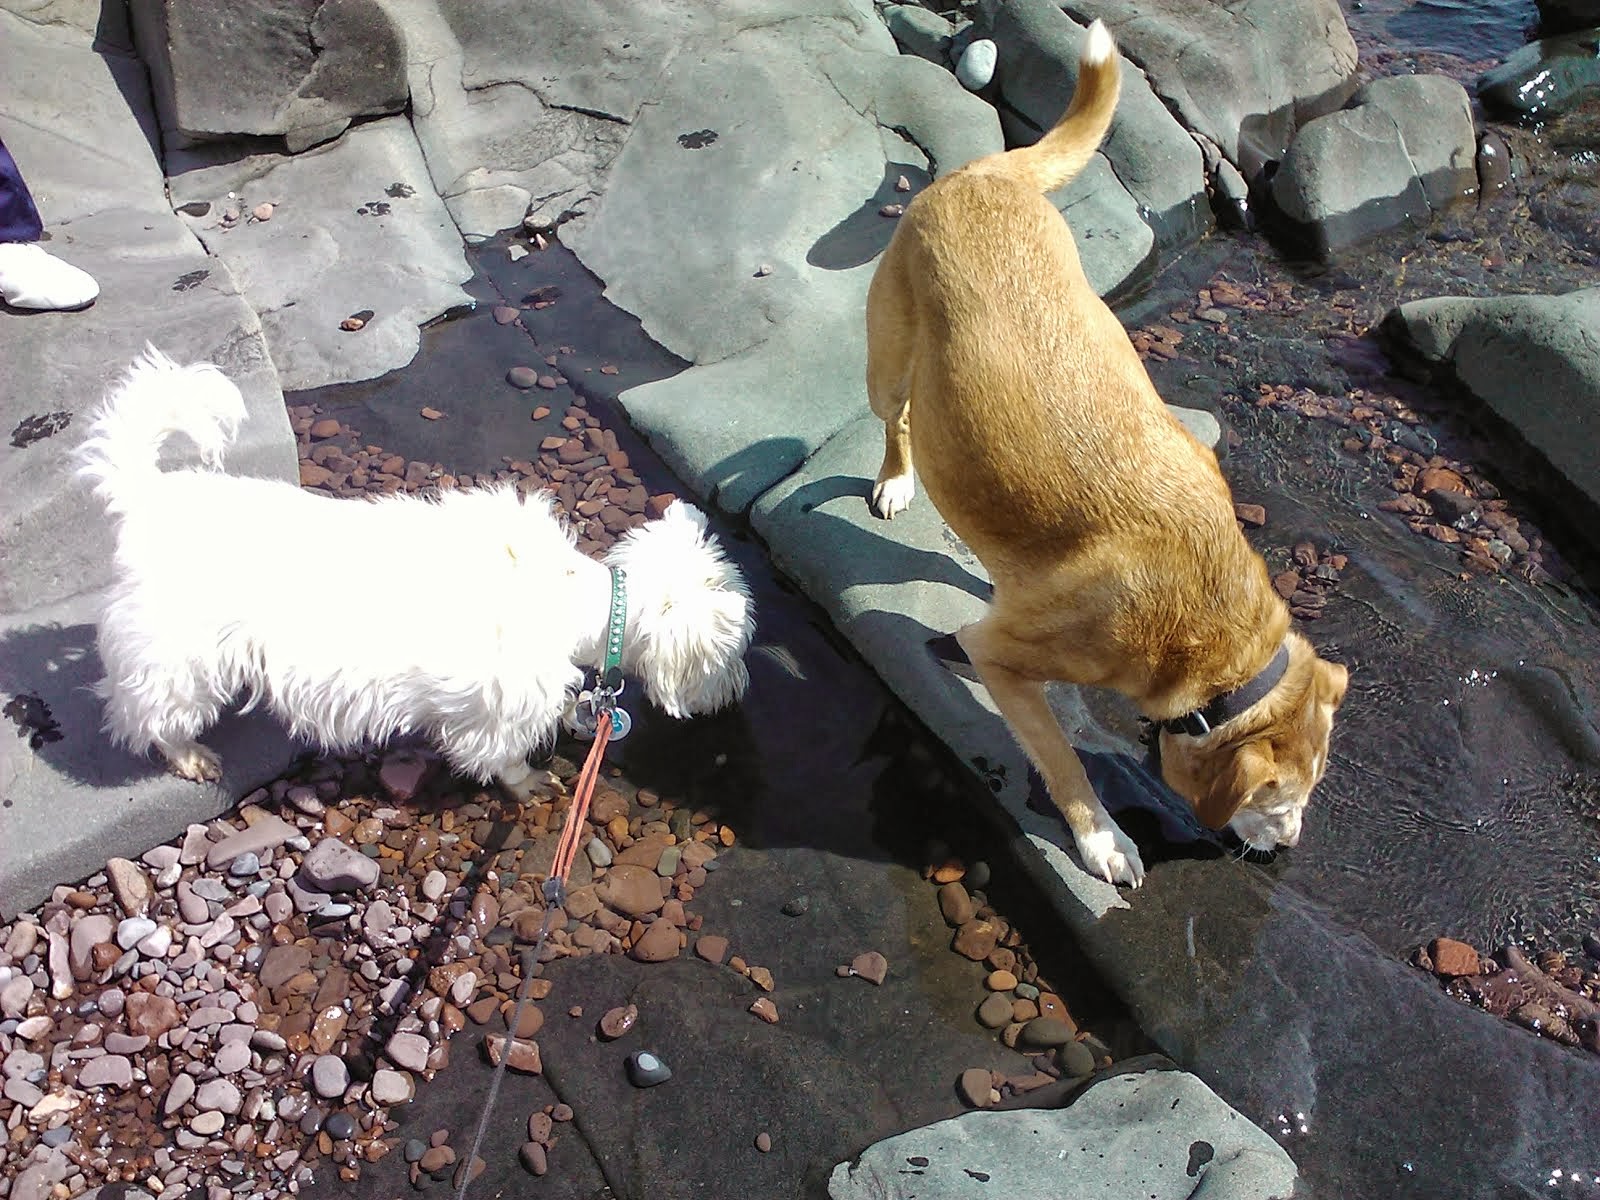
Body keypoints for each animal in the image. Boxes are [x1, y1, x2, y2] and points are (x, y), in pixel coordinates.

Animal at [81, 345, 761, 790]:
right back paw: (190, 755)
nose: (740, 694)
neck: (579, 601)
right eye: (734, 654)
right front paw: (531, 783)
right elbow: (502, 762)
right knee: (145, 716)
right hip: (174, 660)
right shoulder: (493, 721)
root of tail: (145, 495)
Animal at [870, 16, 1344, 883]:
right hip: (886, 365)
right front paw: (1102, 839)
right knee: (900, 421)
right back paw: (894, 479)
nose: (1289, 848)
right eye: (1277, 800)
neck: (1212, 621)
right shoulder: (998, 656)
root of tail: (988, 174)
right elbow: (1062, 760)